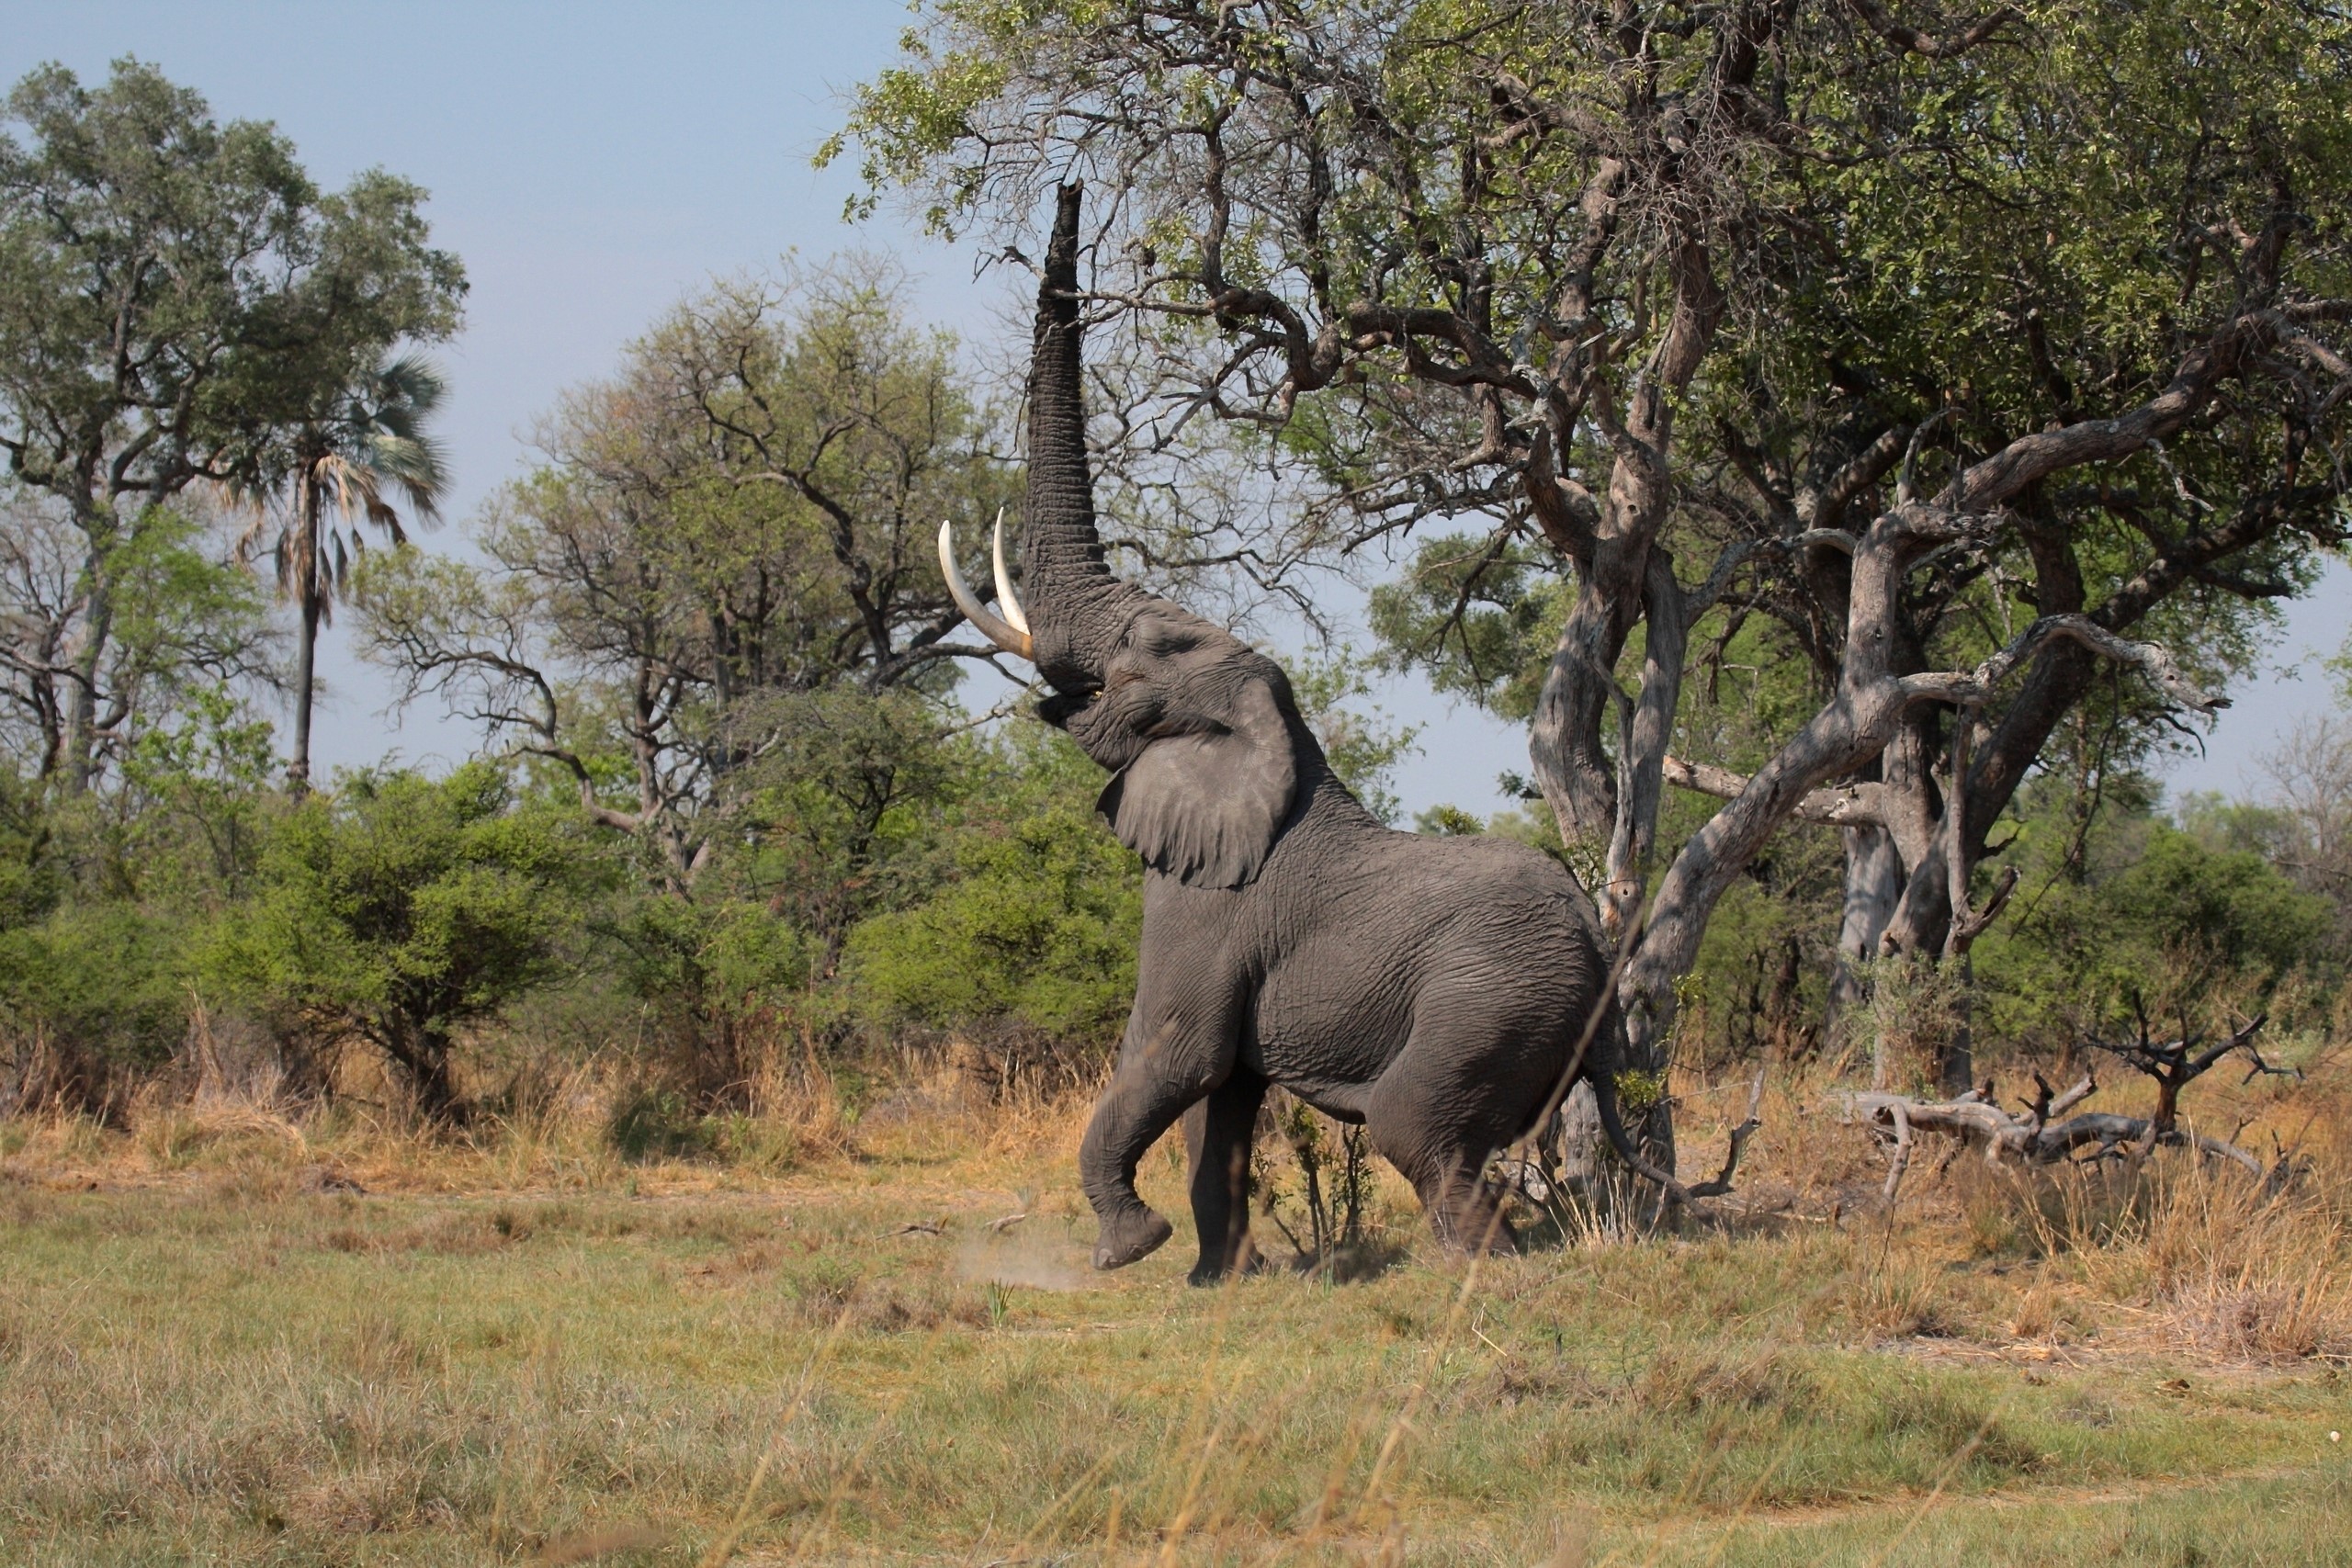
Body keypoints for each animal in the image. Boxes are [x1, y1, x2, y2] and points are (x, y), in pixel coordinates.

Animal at [940, 184, 1678, 1282]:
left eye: (1147, 650)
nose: (1072, 187)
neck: (1268, 736)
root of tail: (1598, 947)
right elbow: (1223, 1106)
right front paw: (1217, 1280)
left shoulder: (1207, 907)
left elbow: (1175, 1054)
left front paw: (1129, 1250)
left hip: (1490, 1001)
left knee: (1416, 1128)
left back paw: (1477, 1268)